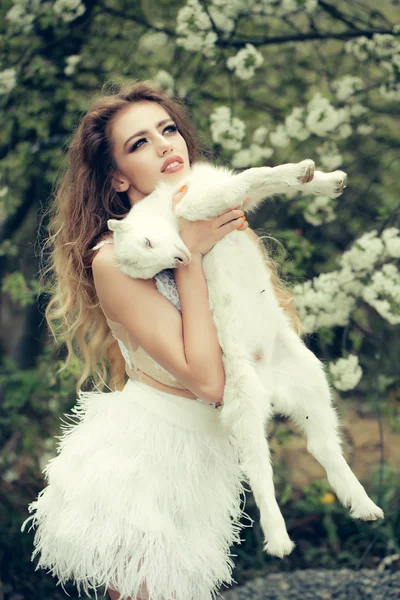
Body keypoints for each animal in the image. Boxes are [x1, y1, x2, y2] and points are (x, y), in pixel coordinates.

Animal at [108, 159, 382, 556]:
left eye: (148, 244)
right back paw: (280, 541)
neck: (168, 205)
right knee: (260, 471)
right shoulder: (206, 203)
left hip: (311, 382)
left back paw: (365, 506)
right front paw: (303, 170)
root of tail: (273, 388)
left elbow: (263, 183)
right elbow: (252, 176)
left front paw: (327, 182)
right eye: (152, 267)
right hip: (244, 405)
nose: (181, 259)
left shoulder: (234, 204)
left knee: (322, 445)